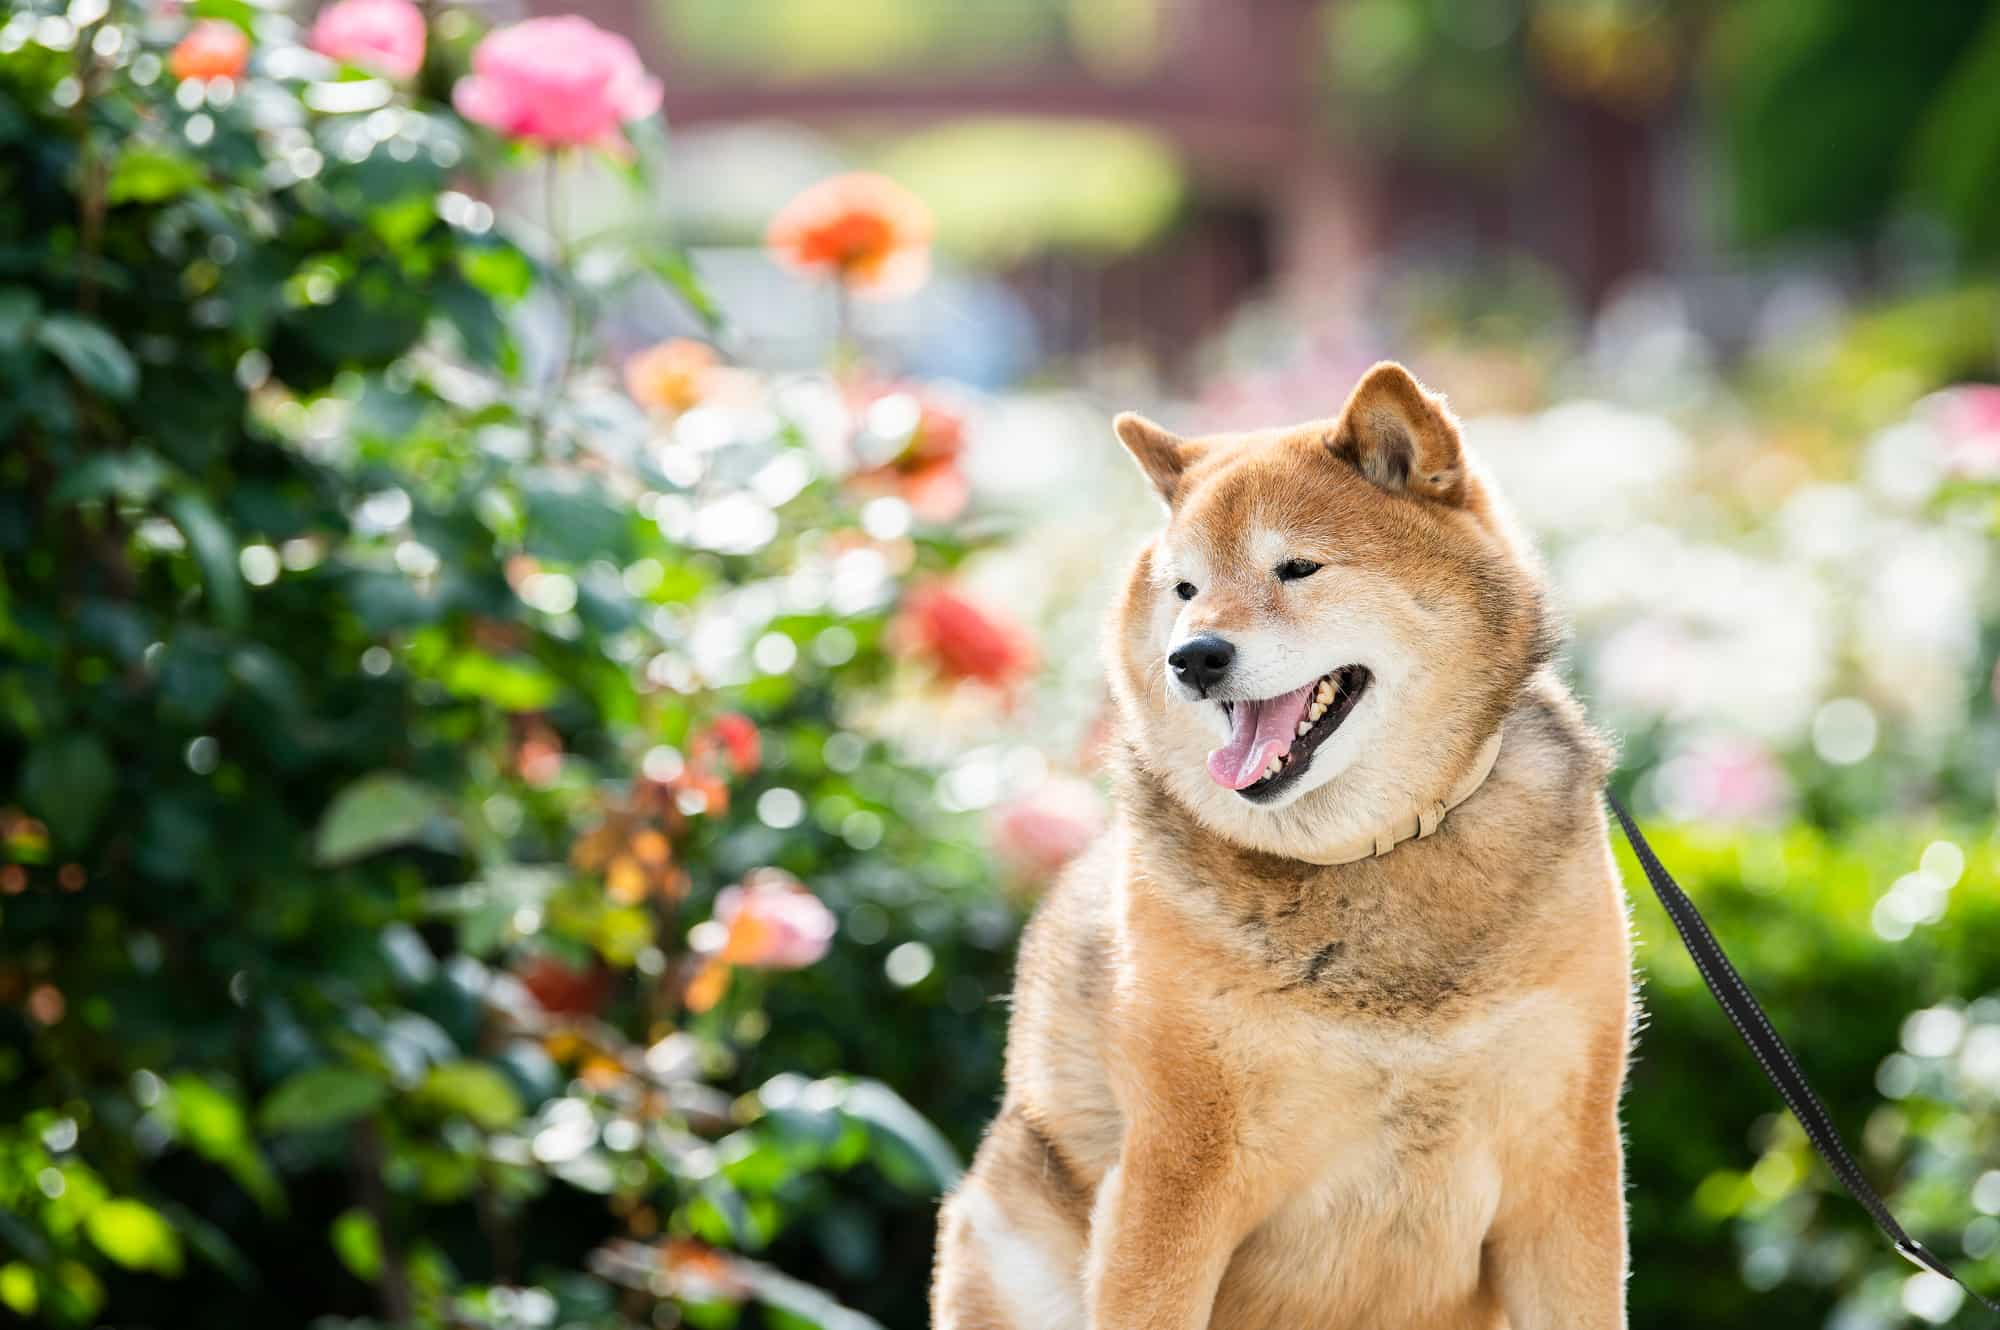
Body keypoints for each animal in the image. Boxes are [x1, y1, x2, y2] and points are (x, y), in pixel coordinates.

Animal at [928, 358, 1632, 1320]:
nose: (1194, 657)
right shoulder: (1173, 1180)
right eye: (1185, 590)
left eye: (1296, 567)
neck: (1369, 857)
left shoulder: (1567, 1176)